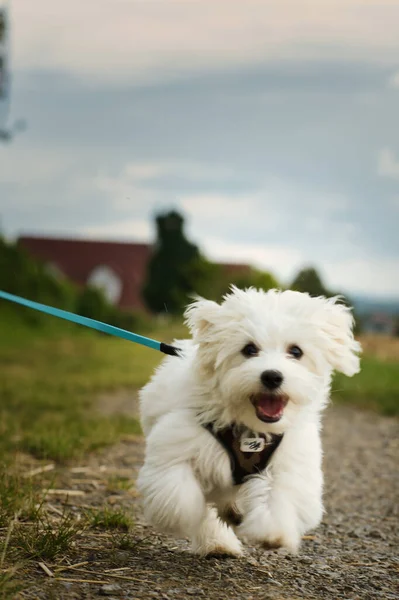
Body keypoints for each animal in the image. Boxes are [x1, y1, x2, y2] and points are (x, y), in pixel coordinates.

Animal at [138, 288, 362, 556]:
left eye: (296, 351)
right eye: (249, 349)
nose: (272, 376)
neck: (251, 429)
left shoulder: (288, 462)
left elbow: (278, 496)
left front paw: (274, 533)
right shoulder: (177, 443)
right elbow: (178, 494)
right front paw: (181, 517)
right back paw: (217, 541)